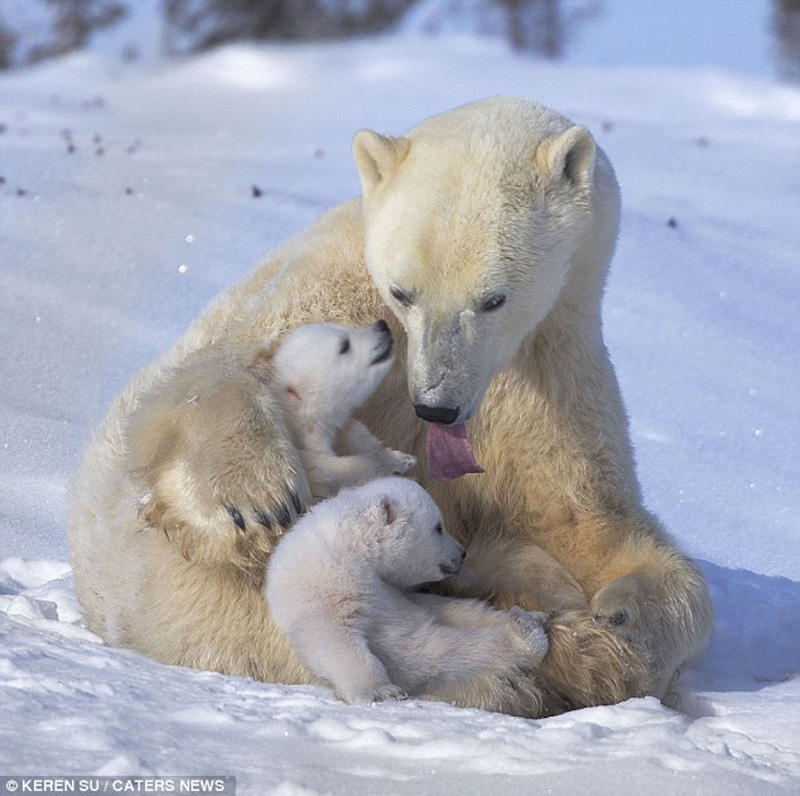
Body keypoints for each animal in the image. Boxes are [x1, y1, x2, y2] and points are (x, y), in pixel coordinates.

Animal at [266, 476, 548, 704]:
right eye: (438, 527)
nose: (462, 553)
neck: (352, 552)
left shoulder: (391, 591)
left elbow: (441, 609)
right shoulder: (327, 590)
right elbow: (335, 638)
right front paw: (381, 691)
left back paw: (528, 618)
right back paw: (526, 636)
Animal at [272, 320, 416, 500]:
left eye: (344, 327)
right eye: (344, 345)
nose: (381, 325)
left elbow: (353, 433)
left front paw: (400, 458)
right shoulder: (305, 460)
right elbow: (332, 470)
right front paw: (388, 468)